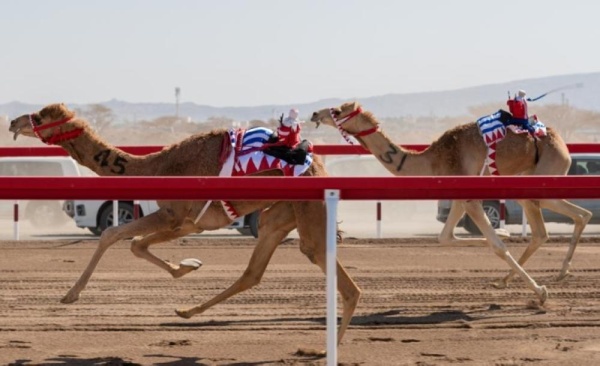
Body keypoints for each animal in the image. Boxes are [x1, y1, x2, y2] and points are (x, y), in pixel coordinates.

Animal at [9, 103, 360, 346]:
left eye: (39, 116)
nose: (13, 121)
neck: (153, 168)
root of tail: (317, 163)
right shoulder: (189, 223)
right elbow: (135, 244)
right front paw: (188, 265)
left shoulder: (174, 215)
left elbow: (113, 234)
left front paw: (70, 294)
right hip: (281, 213)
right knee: (254, 270)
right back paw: (187, 312)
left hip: (307, 207)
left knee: (329, 267)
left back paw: (326, 347)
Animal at [312, 101, 592, 304]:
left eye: (338, 110)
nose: (315, 113)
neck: (433, 161)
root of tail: (562, 143)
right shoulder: (460, 197)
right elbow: (445, 237)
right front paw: (504, 233)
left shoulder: (468, 196)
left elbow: (497, 245)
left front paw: (540, 291)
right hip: (530, 181)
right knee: (571, 219)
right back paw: (542, 275)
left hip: (544, 175)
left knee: (557, 224)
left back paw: (544, 280)